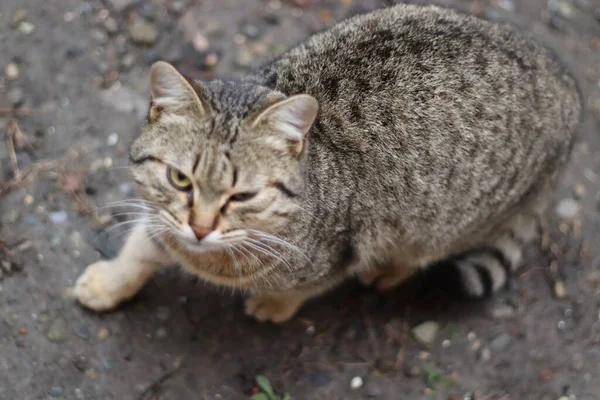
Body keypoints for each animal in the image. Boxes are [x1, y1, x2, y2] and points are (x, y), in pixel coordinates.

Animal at [74, 3, 580, 322]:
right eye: (180, 179)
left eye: (243, 195)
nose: (199, 228)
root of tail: (569, 88)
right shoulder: (162, 219)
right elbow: (143, 244)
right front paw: (111, 281)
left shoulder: (339, 254)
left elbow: (305, 287)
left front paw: (275, 306)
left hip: (443, 223)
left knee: (420, 252)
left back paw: (387, 271)